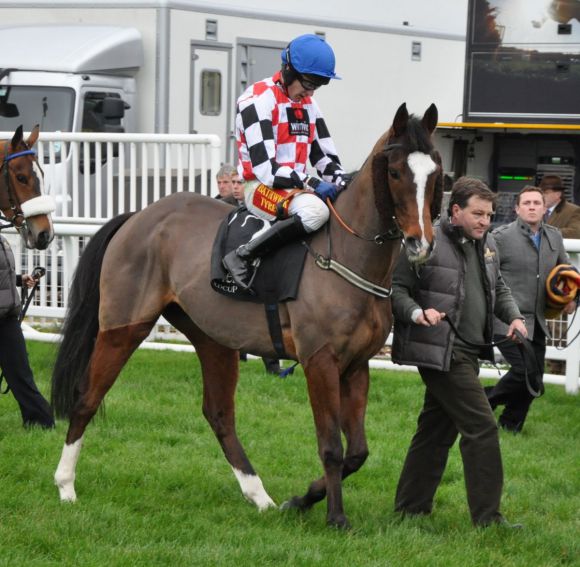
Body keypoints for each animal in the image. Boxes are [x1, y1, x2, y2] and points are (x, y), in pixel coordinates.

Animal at [52, 102, 442, 528]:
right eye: (395, 172)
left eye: (435, 171)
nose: (420, 243)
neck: (345, 255)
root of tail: (140, 215)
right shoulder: (319, 362)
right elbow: (332, 447)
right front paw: (335, 517)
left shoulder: (356, 365)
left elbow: (357, 452)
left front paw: (302, 498)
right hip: (123, 327)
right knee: (87, 398)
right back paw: (66, 485)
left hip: (213, 339)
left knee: (219, 415)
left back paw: (260, 497)